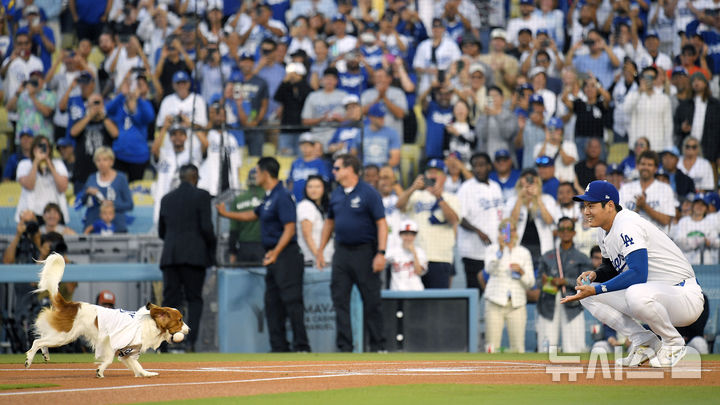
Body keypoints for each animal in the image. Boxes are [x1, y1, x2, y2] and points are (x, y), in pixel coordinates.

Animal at [25, 254, 190, 378]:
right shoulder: (110, 341)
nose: (188, 330)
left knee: (42, 339)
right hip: (64, 336)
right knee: (37, 341)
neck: (149, 325)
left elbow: (137, 366)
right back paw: (29, 359)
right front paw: (100, 371)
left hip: (60, 335)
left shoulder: (127, 352)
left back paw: (45, 355)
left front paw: (146, 374)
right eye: (180, 320)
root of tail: (69, 304)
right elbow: (109, 359)